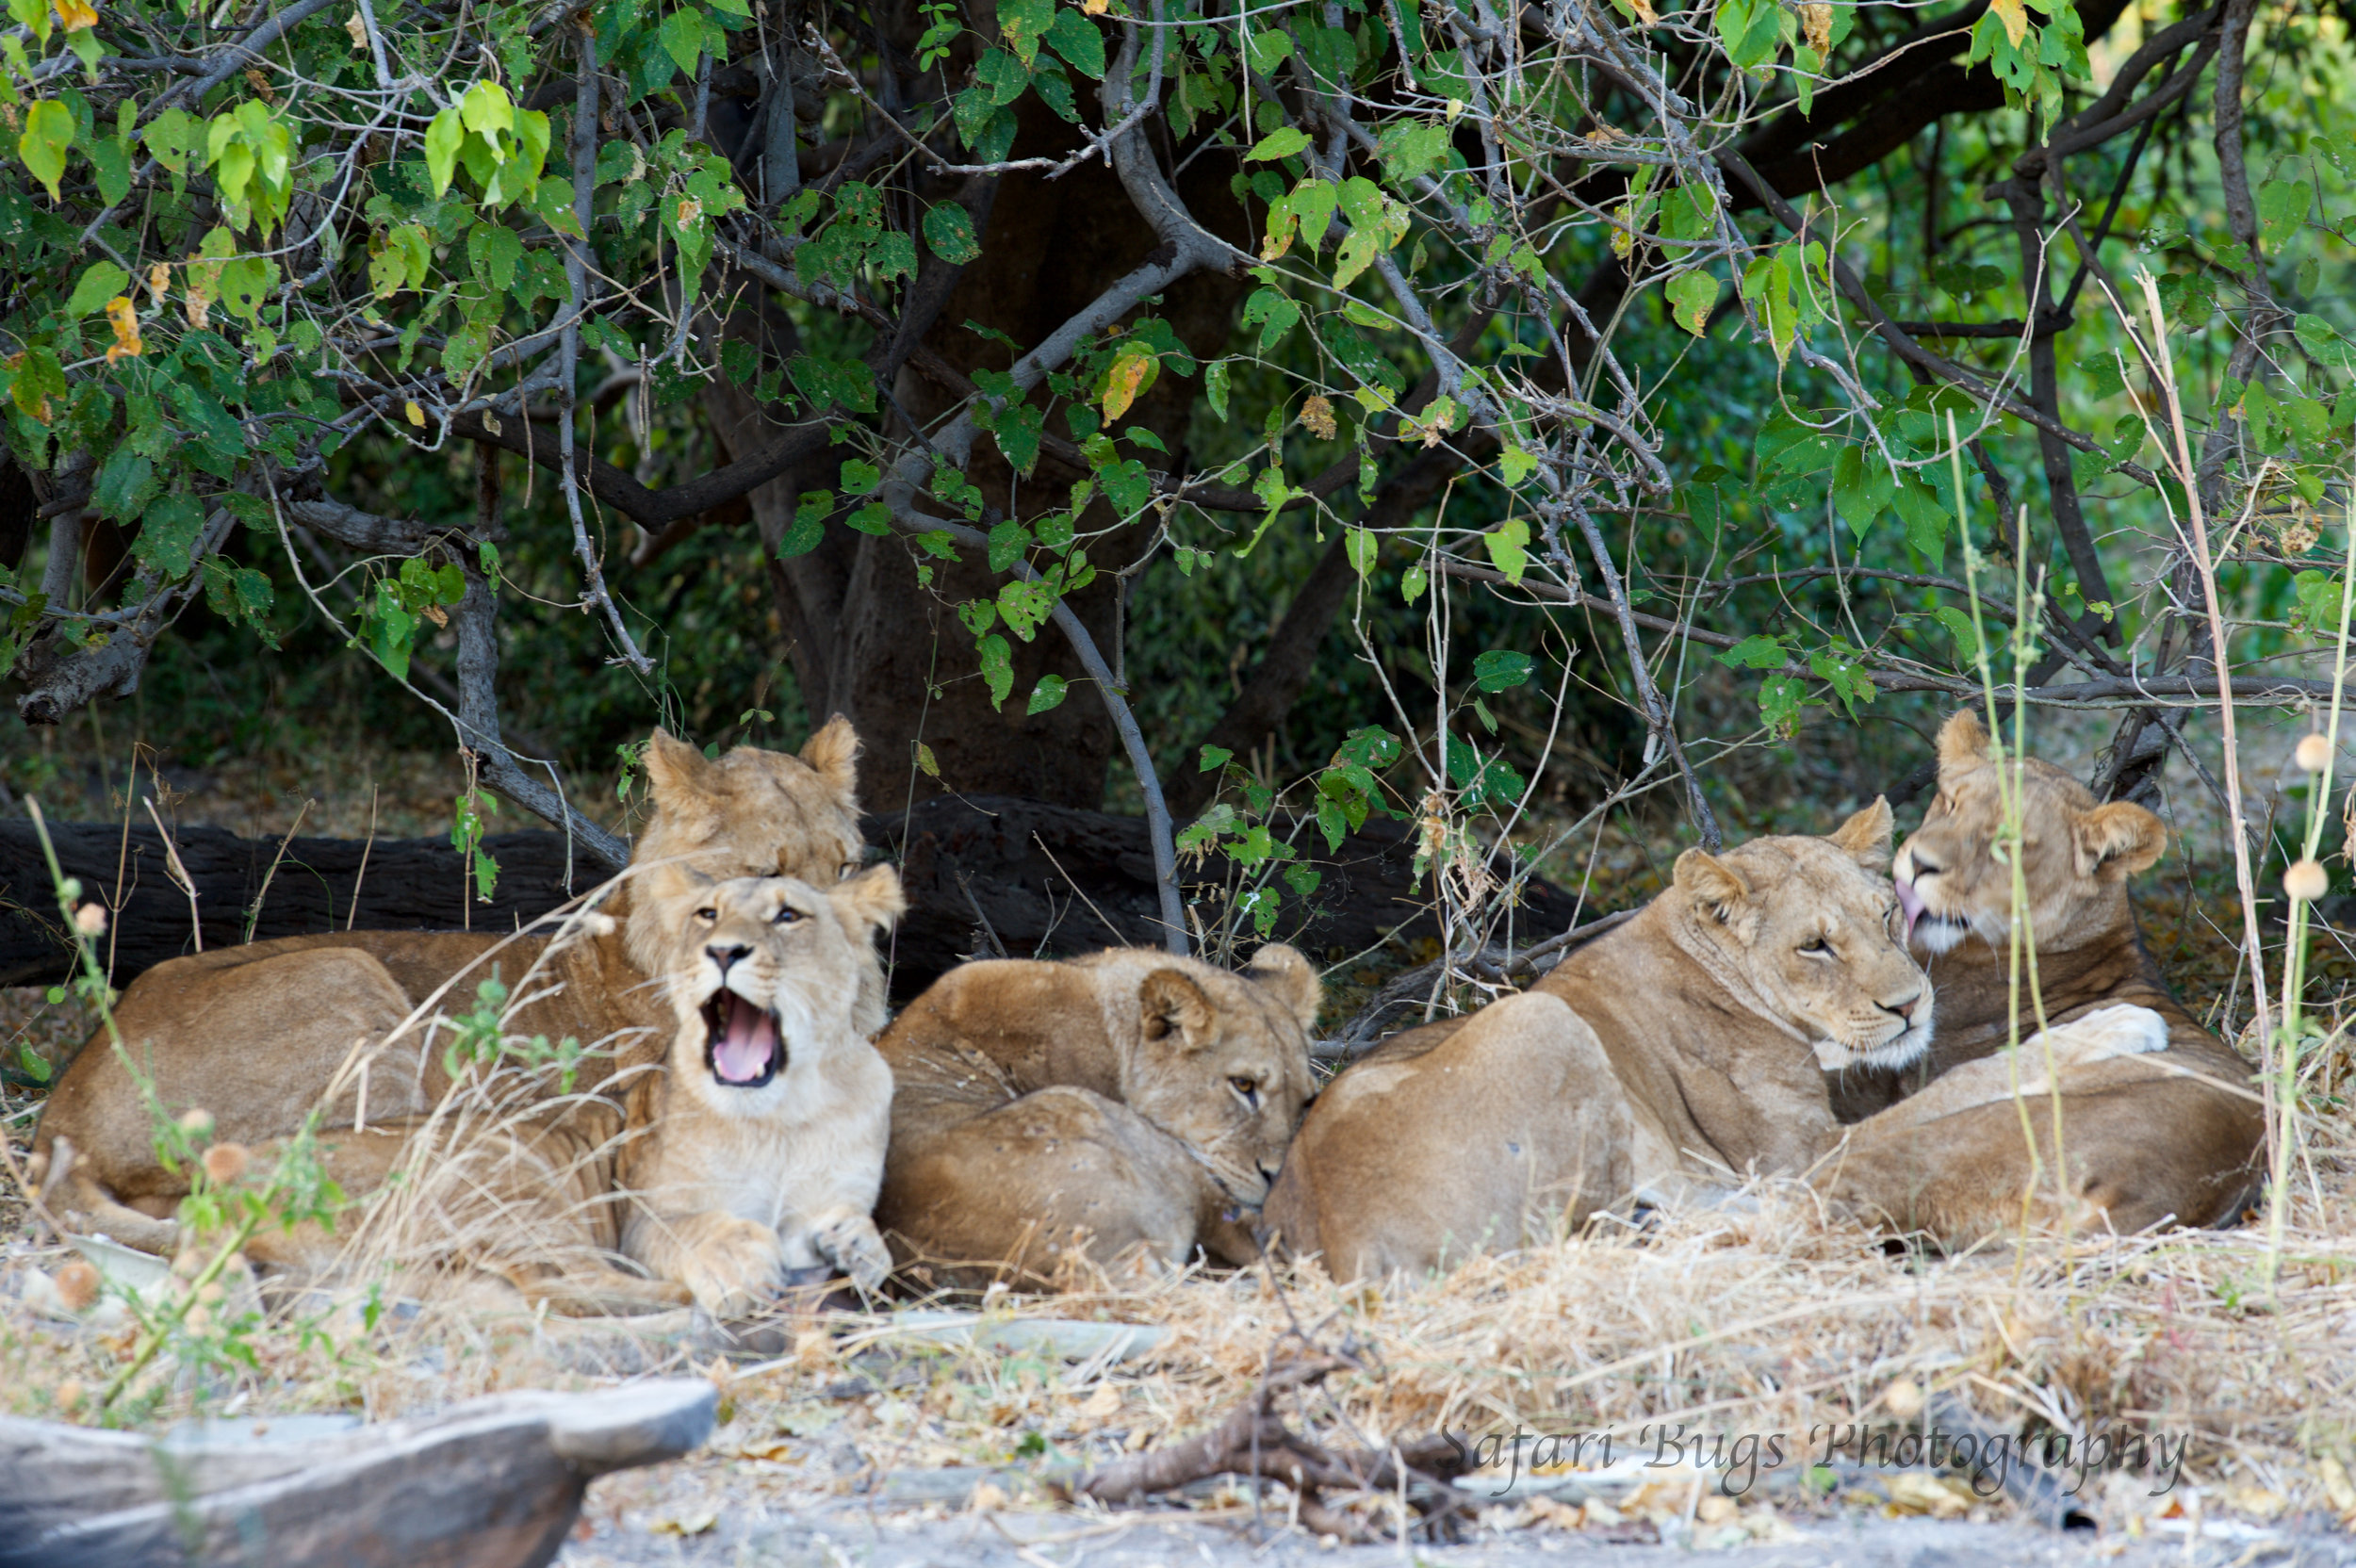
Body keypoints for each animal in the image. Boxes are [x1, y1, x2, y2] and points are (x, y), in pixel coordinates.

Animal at [238, 861, 900, 1309]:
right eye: (706, 915)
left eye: (789, 916)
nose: (722, 951)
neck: (780, 1115)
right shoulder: (640, 1217)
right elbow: (686, 1229)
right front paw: (737, 1264)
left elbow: (872, 1239)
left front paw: (852, 1248)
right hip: (511, 1179)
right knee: (562, 1283)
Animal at [1272, 800, 1932, 1281]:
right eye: (1814, 946)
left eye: (1884, 915)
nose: (1910, 1005)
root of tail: (1338, 1245)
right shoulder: (1795, 1152)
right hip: (1546, 1023)